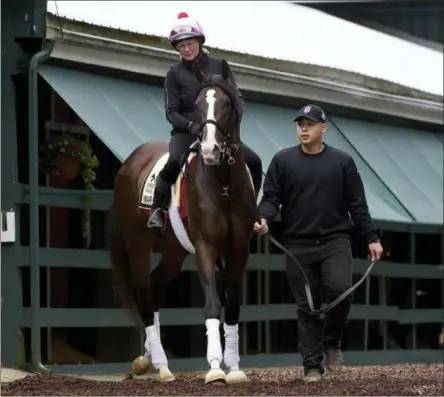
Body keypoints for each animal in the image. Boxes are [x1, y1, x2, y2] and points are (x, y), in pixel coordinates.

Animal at [109, 58, 258, 384]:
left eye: (227, 103)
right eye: (198, 104)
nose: (209, 150)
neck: (223, 185)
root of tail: (129, 164)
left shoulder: (239, 250)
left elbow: (232, 307)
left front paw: (234, 367)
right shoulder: (205, 247)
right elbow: (213, 305)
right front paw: (215, 367)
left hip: (174, 252)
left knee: (155, 287)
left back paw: (149, 358)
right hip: (138, 247)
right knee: (144, 296)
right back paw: (162, 366)